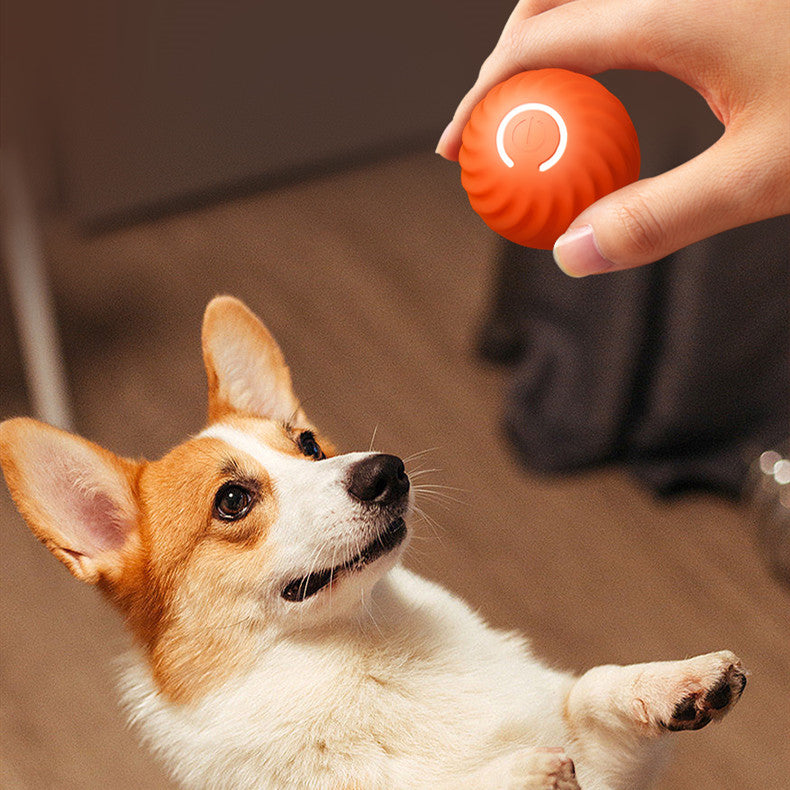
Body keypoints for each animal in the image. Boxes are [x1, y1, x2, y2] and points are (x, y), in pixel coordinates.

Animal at [0, 298, 748, 790]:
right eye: (233, 500)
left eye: (308, 444)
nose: (387, 470)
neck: (368, 654)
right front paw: (519, 772)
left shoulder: (604, 761)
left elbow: (591, 689)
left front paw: (683, 681)